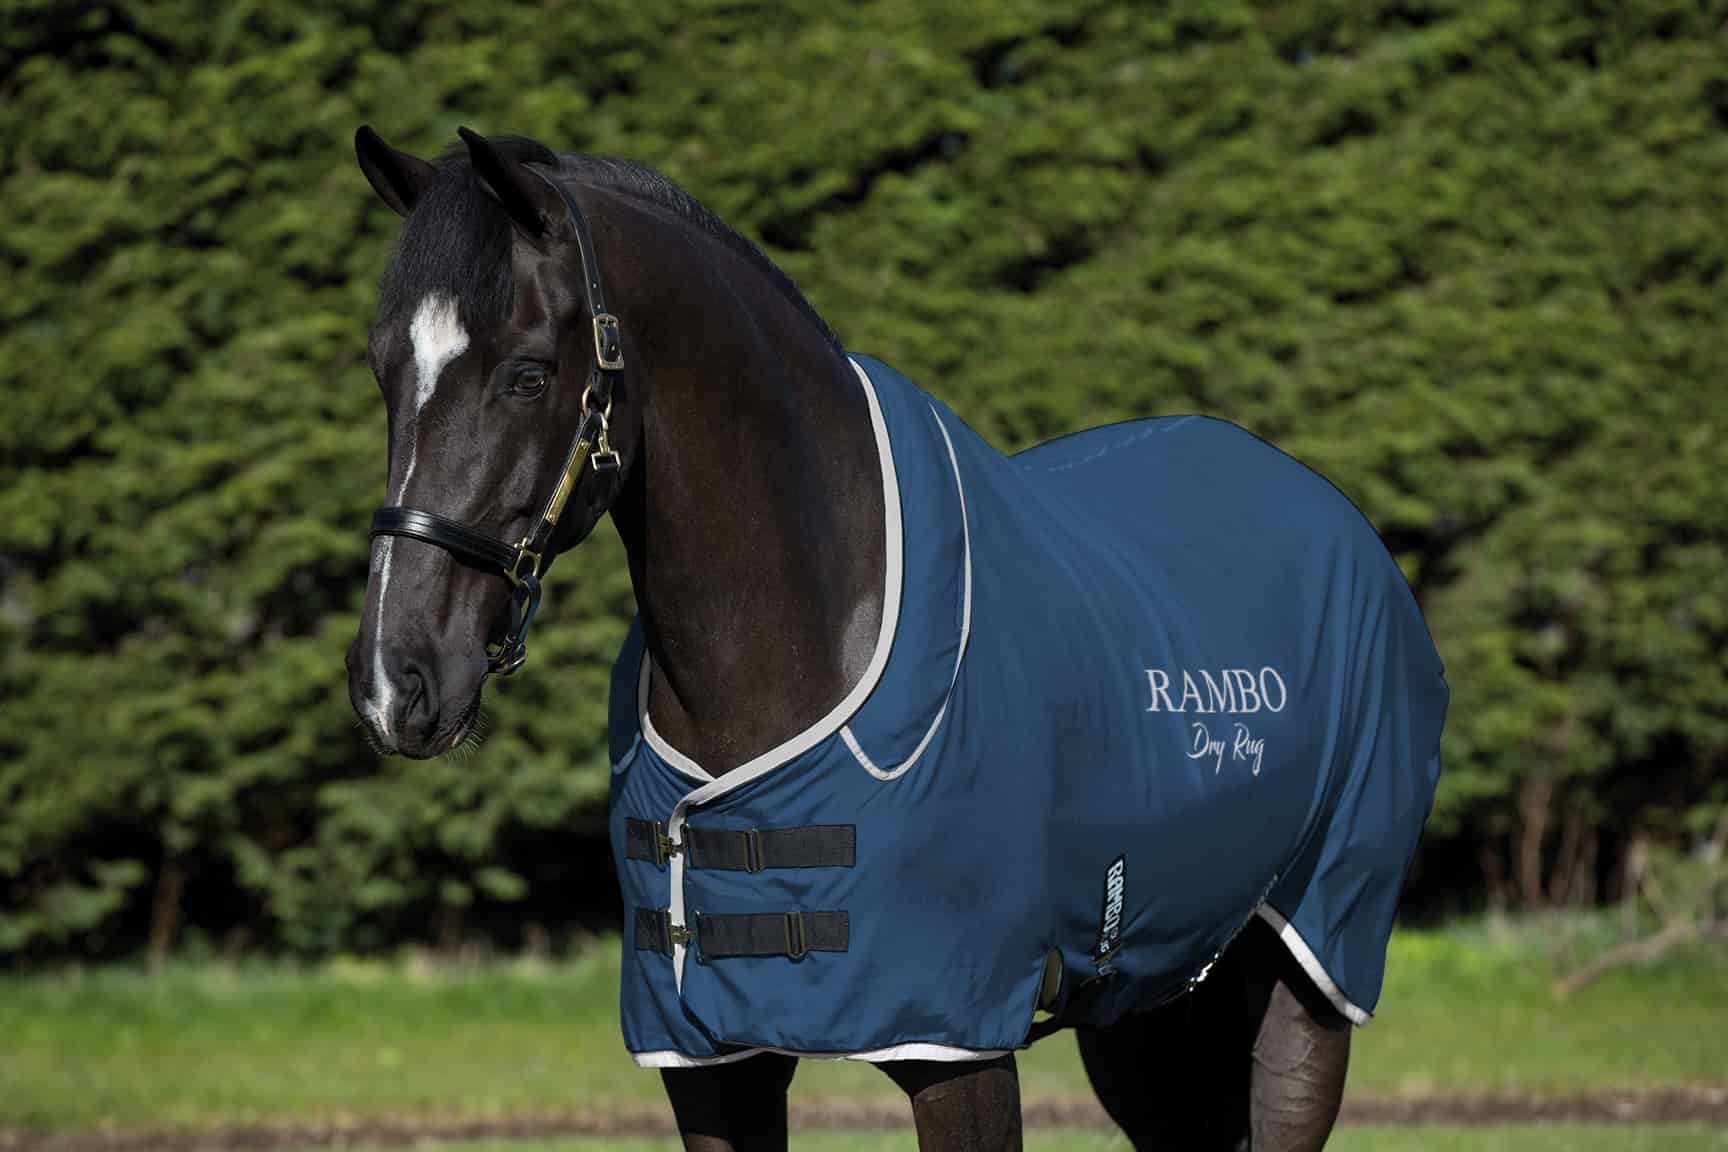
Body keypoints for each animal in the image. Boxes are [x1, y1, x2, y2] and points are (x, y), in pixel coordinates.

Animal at [347, 125, 1448, 1151]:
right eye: (384, 368)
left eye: (528, 376)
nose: (395, 681)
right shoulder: (708, 1062)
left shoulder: (955, 1044)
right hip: (1153, 1001)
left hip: (1311, 964)